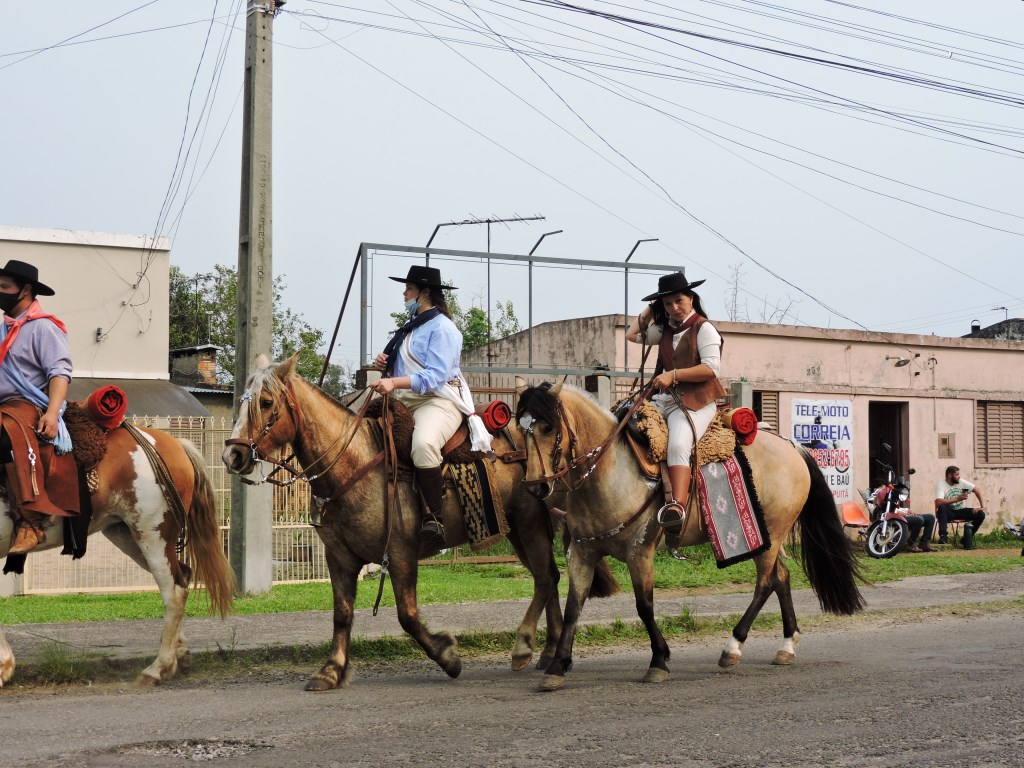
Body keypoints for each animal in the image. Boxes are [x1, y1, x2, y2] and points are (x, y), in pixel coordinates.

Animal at [1, 430, 235, 688]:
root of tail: (174, 443)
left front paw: (4, 666)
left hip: (153, 534)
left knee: (174, 592)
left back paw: (158, 667)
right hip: (127, 535)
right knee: (182, 574)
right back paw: (179, 652)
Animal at [219, 358, 610, 696]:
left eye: (266, 402)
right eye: (242, 401)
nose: (232, 455)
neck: (354, 462)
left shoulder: (400, 554)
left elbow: (407, 616)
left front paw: (448, 657)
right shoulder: (339, 558)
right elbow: (342, 614)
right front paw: (331, 671)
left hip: (529, 523)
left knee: (545, 578)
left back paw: (525, 647)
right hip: (517, 530)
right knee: (549, 578)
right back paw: (549, 652)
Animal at [512, 382, 864, 696]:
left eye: (547, 427)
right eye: (521, 429)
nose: (536, 487)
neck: (610, 470)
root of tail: (793, 446)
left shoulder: (640, 552)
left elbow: (644, 606)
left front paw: (658, 660)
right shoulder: (582, 553)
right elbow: (574, 607)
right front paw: (557, 667)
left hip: (772, 534)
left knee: (765, 583)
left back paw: (732, 647)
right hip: (768, 538)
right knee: (781, 577)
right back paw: (787, 644)